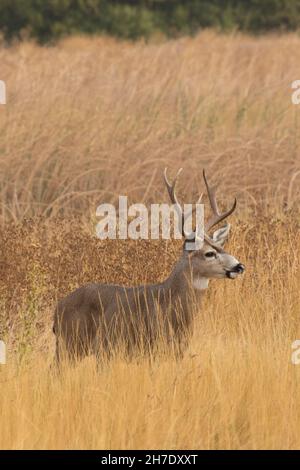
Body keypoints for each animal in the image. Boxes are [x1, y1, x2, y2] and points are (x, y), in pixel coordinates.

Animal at [52, 169, 245, 364]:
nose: (239, 266)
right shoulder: (149, 346)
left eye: (222, 247)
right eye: (209, 253)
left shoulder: (178, 349)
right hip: (71, 344)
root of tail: (57, 309)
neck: (169, 302)